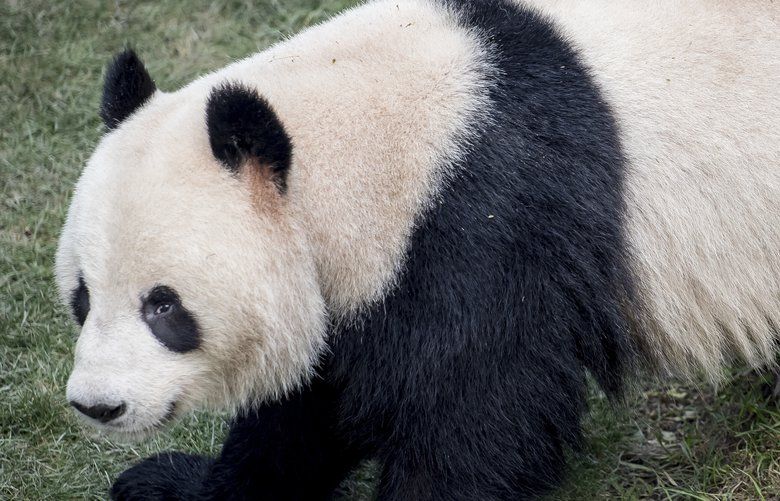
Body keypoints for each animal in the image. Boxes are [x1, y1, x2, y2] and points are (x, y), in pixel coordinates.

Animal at [55, 0, 779, 499]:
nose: (98, 405)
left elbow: (476, 419)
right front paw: (171, 482)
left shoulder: (484, 226)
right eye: (82, 297)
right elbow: (313, 408)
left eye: (164, 306)